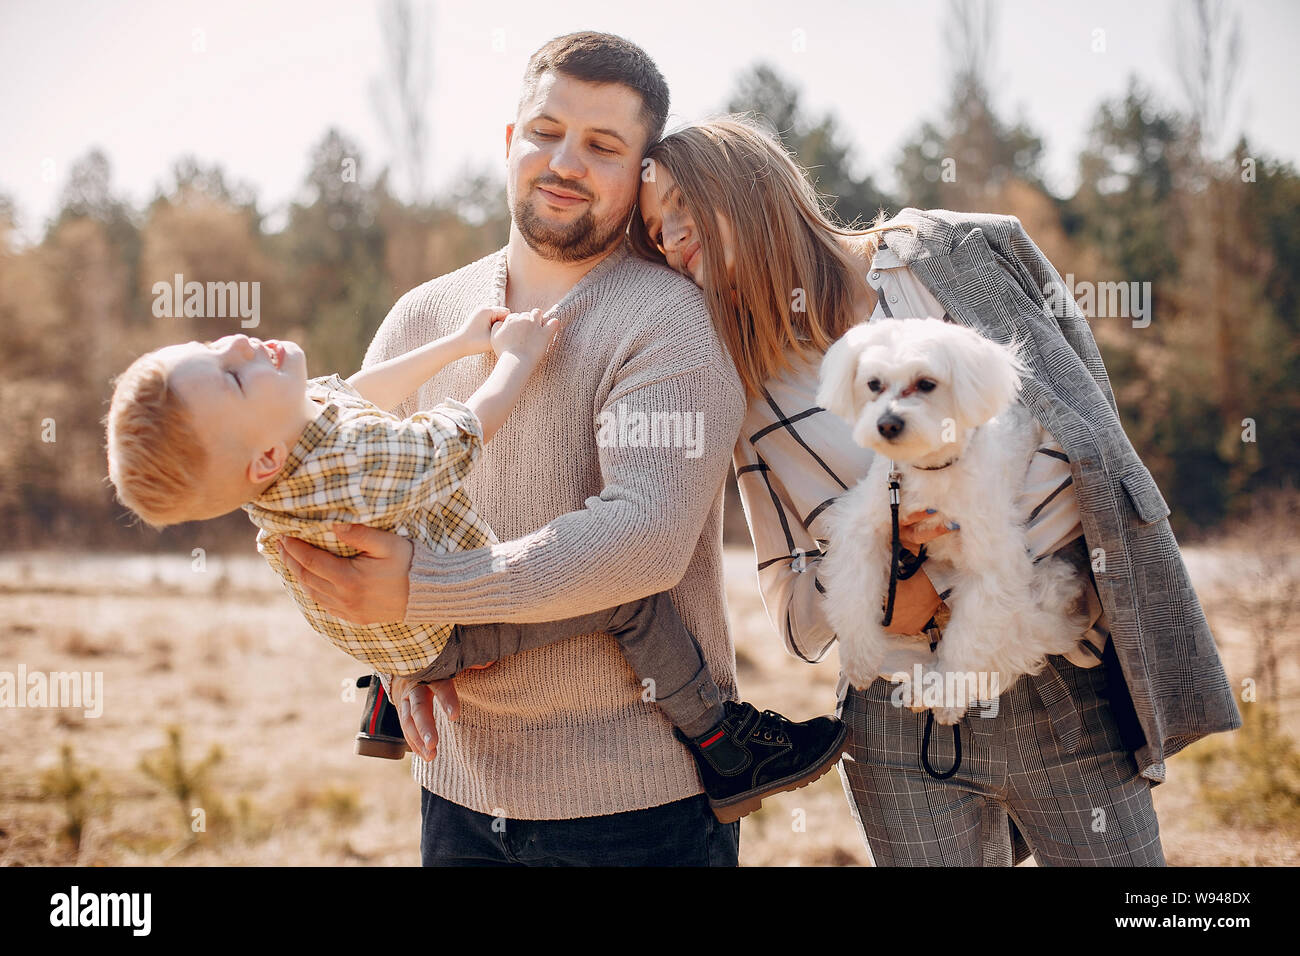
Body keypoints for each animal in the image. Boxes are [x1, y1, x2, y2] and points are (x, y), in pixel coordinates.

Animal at [821, 317, 1086, 723]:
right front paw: (860, 658)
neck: (933, 471)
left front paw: (947, 693)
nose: (887, 424)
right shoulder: (864, 526)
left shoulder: (992, 570)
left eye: (926, 384)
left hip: (1046, 587)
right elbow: (854, 593)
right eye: (873, 384)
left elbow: (967, 641)